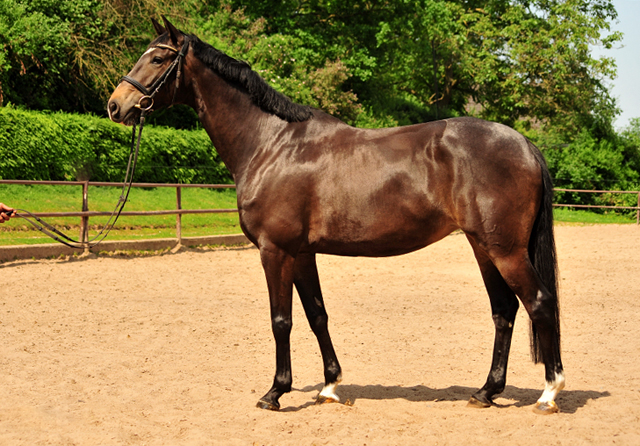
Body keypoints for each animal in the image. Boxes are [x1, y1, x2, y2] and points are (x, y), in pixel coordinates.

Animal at [107, 16, 564, 414]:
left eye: (158, 58)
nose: (115, 105)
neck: (271, 143)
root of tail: (524, 143)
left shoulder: (275, 251)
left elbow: (281, 320)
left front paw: (275, 393)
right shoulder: (301, 253)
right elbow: (317, 315)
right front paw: (329, 386)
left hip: (504, 250)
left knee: (540, 303)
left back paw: (549, 393)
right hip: (484, 247)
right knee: (504, 312)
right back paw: (486, 391)